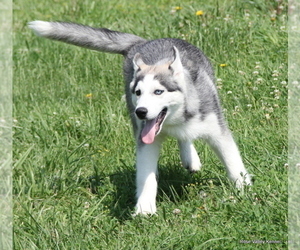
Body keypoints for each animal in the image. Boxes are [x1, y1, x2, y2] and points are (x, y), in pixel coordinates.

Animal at [29, 21, 252, 215]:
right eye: (138, 92)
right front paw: (145, 208)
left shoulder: (217, 130)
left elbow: (233, 162)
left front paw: (245, 191)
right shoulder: (146, 140)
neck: (175, 120)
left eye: (158, 92)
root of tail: (144, 42)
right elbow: (146, 175)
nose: (141, 112)